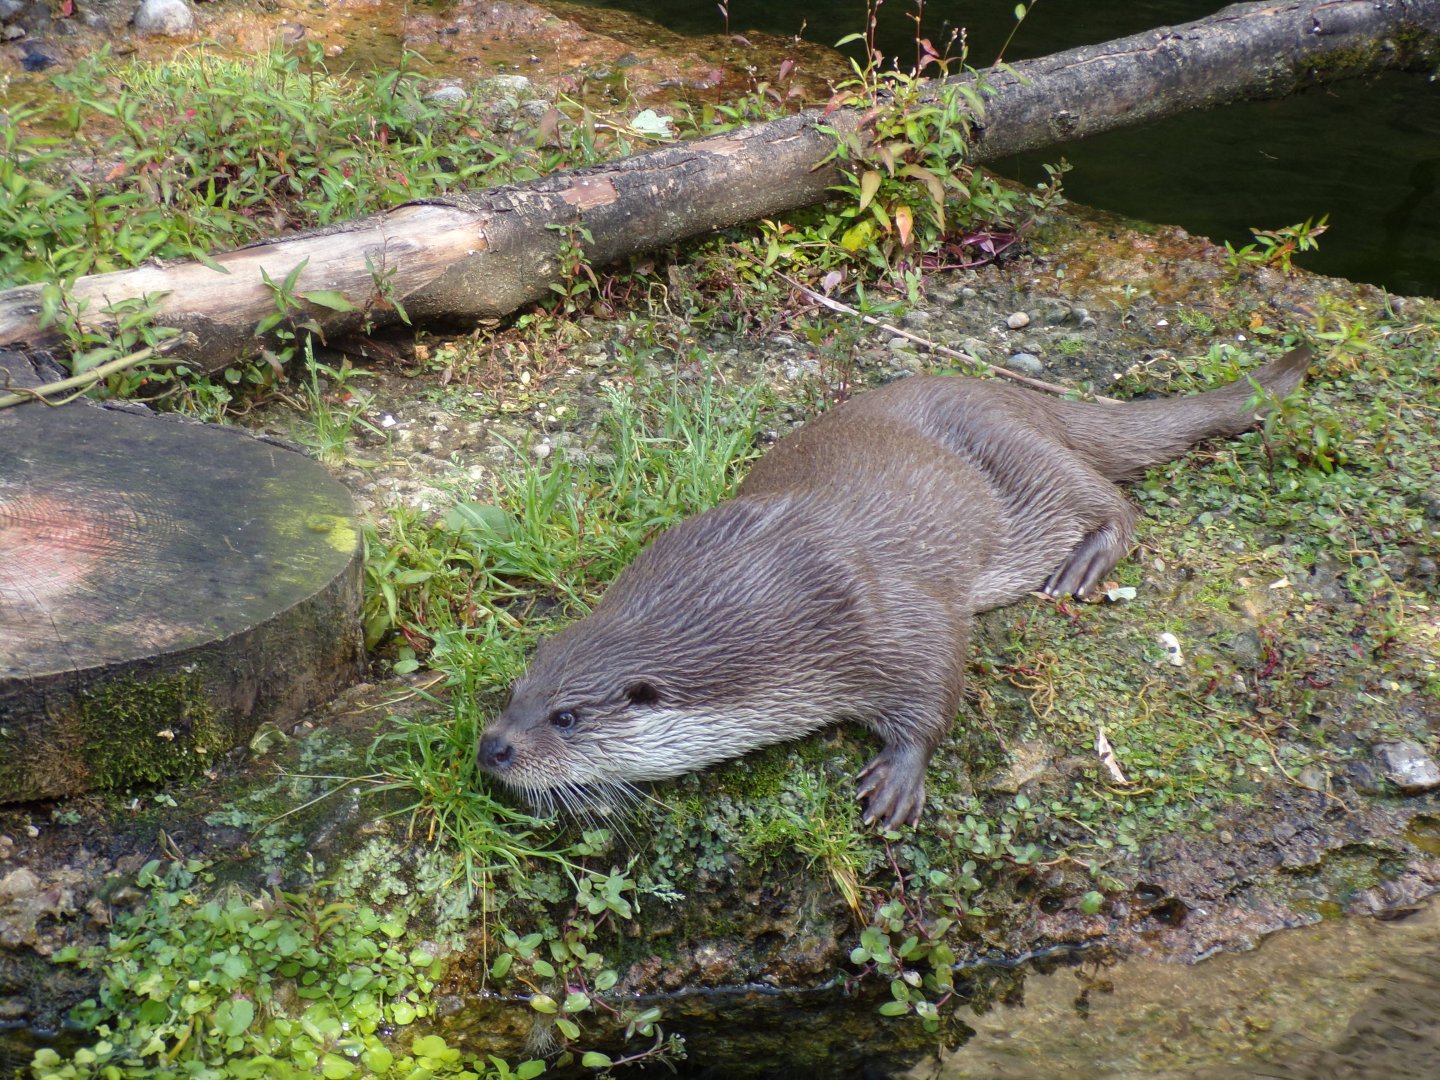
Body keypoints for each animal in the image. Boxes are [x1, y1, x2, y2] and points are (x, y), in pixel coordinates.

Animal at [478, 346, 1313, 828]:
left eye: (567, 718)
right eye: (515, 693)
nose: (493, 748)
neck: (755, 588)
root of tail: (1016, 394)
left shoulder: (873, 608)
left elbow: (935, 673)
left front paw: (901, 776)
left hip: (1023, 466)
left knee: (1111, 499)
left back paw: (1083, 564)